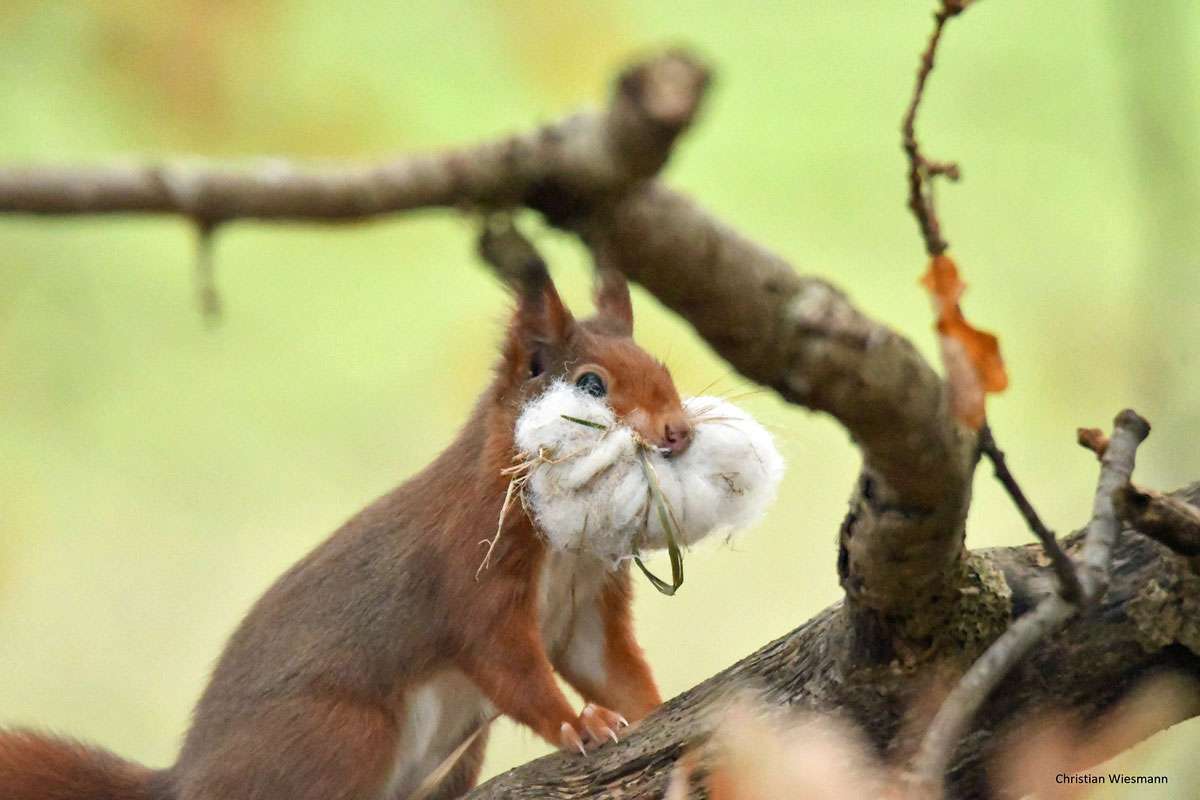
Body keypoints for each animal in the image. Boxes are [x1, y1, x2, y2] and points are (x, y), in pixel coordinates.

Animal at [0, 253, 696, 800]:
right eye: (591, 386)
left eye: (664, 372)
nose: (679, 431)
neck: (568, 541)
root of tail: (186, 783)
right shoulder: (470, 569)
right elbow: (506, 663)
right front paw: (577, 724)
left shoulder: (585, 606)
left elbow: (609, 664)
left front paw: (652, 708)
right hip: (345, 733)